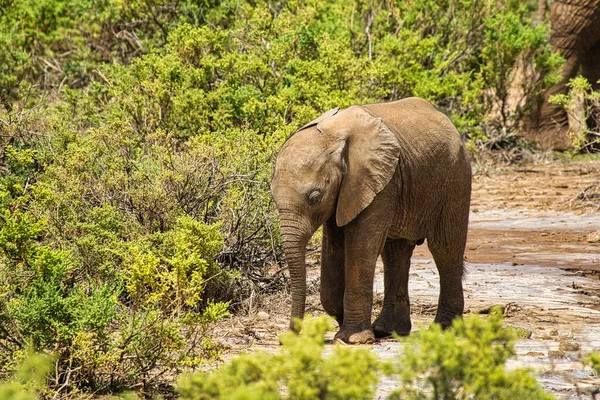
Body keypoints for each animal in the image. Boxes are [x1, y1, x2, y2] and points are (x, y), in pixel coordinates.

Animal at [272, 97, 474, 344]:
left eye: (315, 198)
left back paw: (445, 329)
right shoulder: (345, 192)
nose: (285, 339)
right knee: (395, 253)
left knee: (444, 248)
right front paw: (348, 326)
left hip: (455, 178)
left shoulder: (378, 182)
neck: (333, 136)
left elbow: (361, 245)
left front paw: (353, 338)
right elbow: (335, 247)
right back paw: (387, 330)